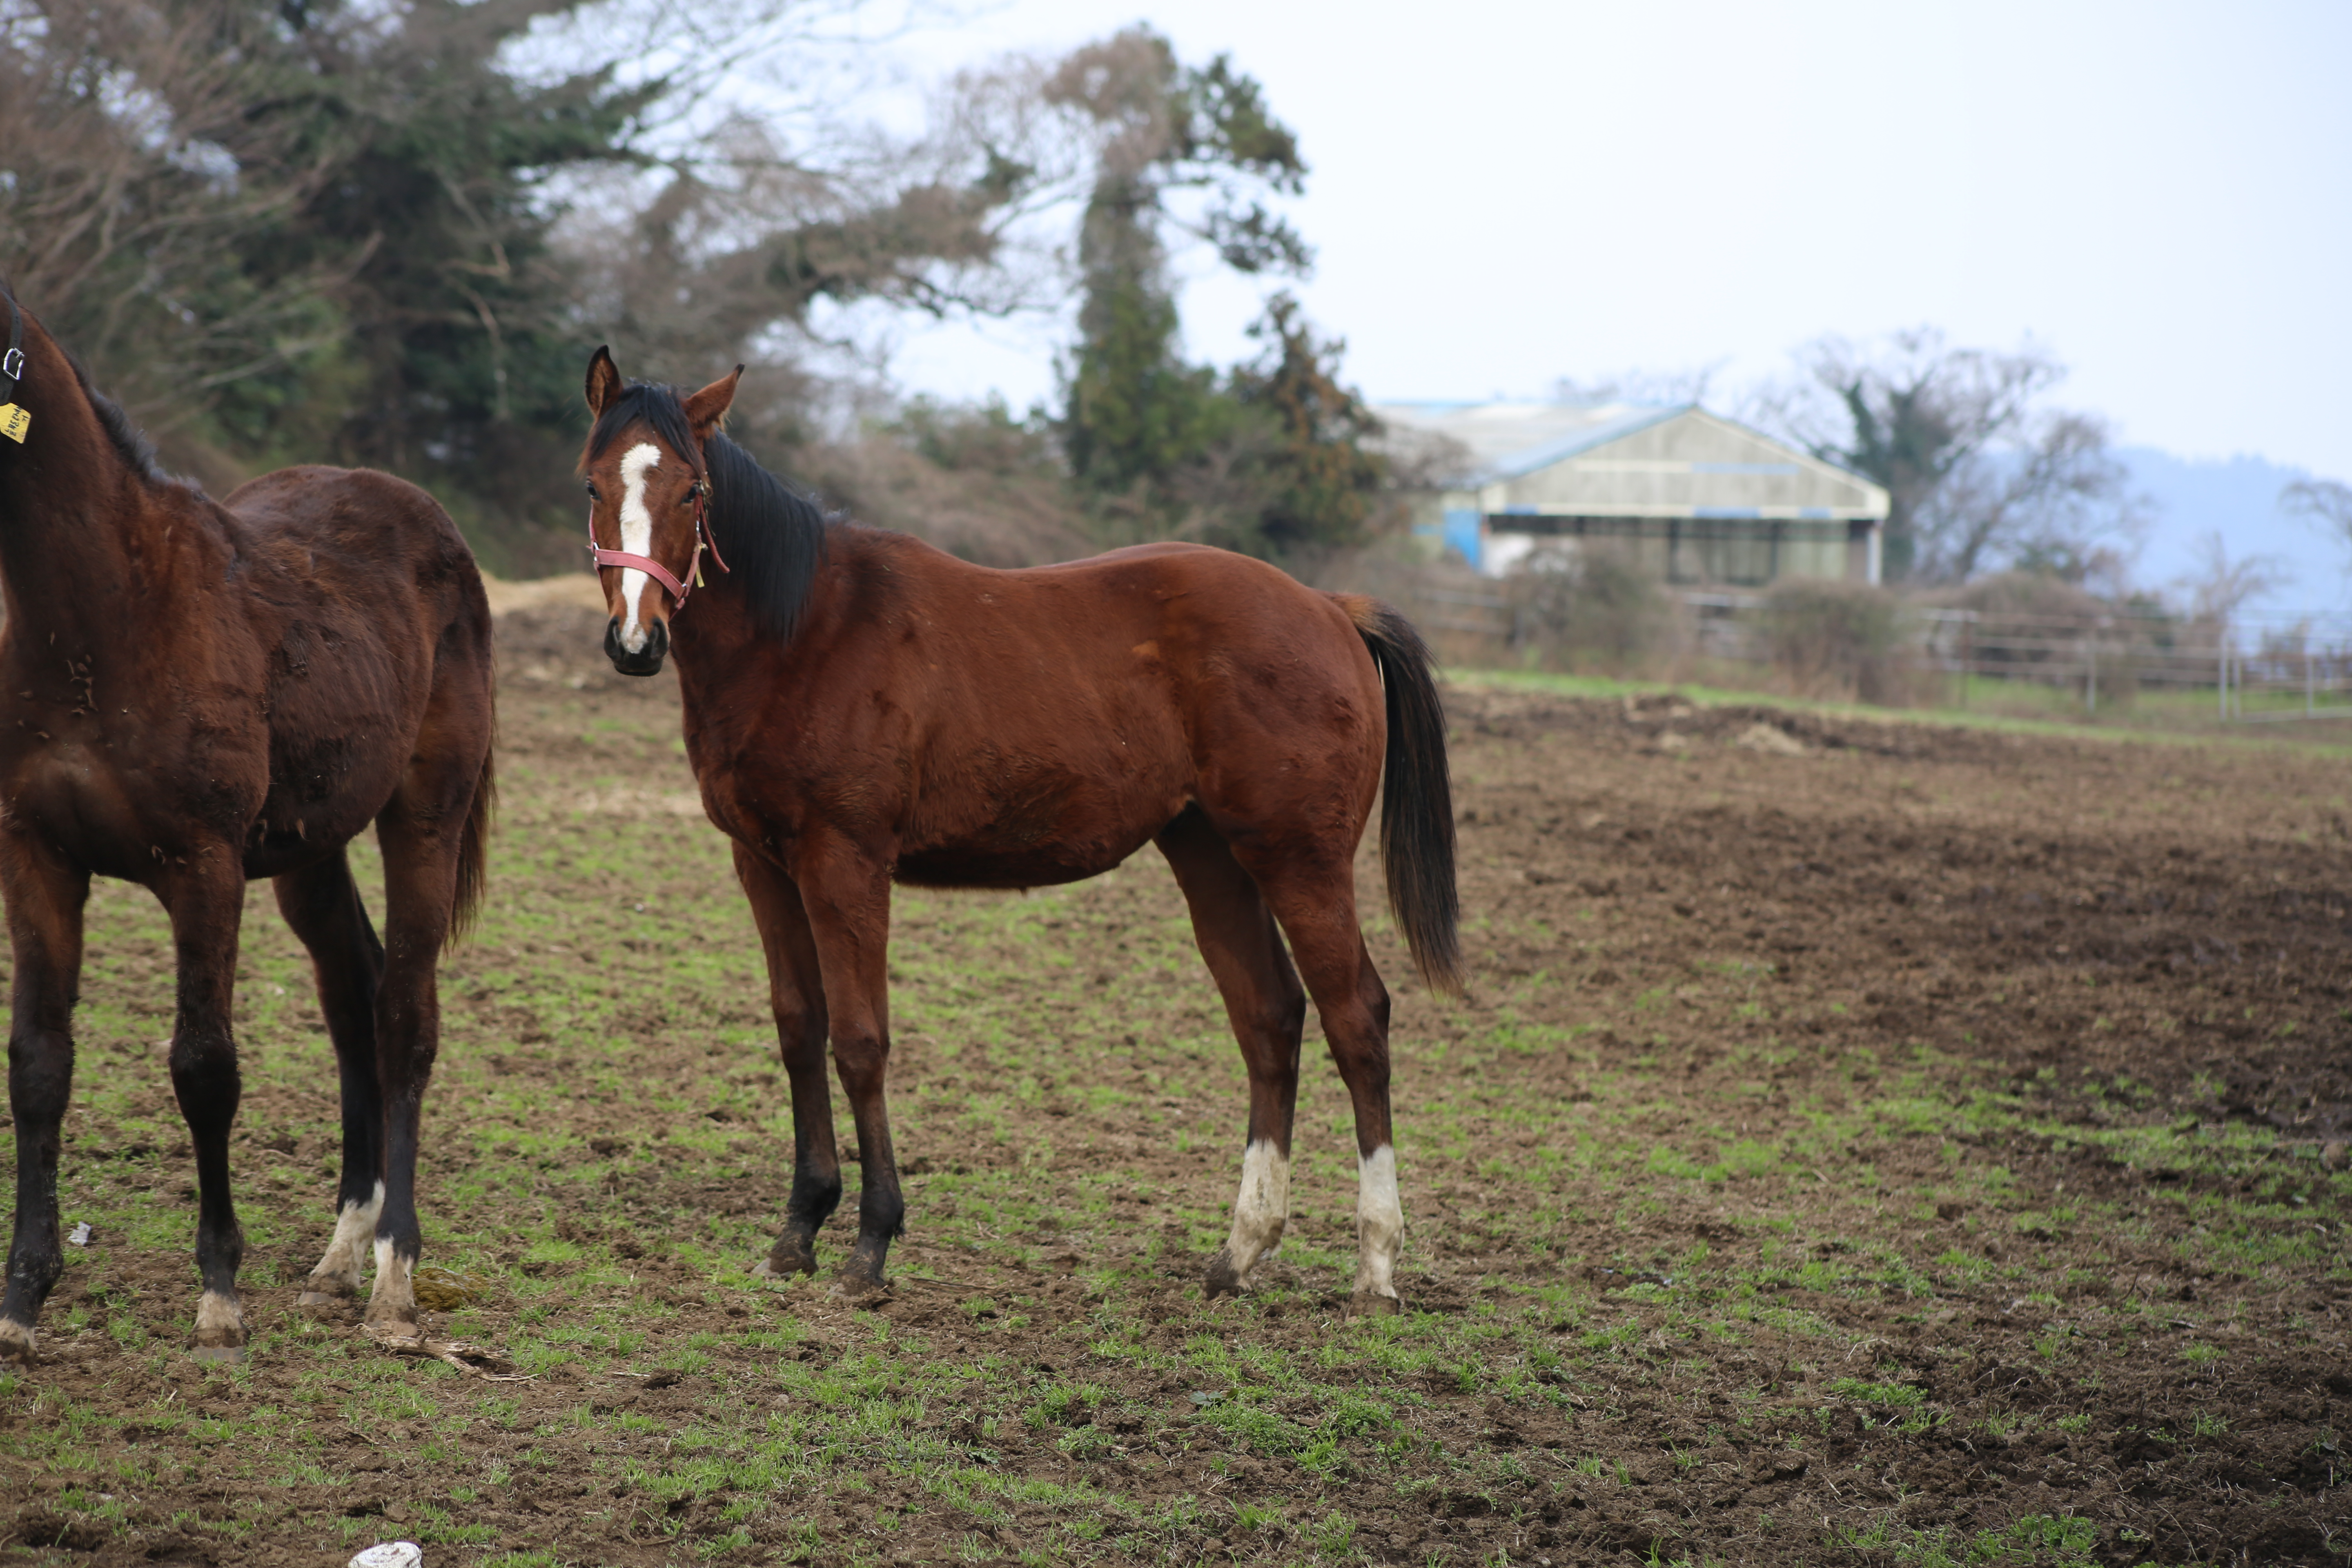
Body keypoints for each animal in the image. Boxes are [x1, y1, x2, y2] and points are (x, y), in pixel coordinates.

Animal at [0, 291, 491, 1363]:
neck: (105, 609)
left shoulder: (204, 868)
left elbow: (204, 1068)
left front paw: (219, 1292)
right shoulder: (39, 860)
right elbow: (40, 1065)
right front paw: (22, 1298)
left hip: (423, 819)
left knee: (405, 1015)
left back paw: (393, 1277)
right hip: (311, 851)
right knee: (354, 996)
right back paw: (339, 1255)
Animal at [578, 350, 1458, 1316]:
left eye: (693, 490)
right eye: (593, 485)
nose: (634, 642)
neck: (805, 629)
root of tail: (1330, 607)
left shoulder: (846, 863)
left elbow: (860, 1041)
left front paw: (872, 1243)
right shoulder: (763, 864)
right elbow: (798, 1032)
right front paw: (799, 1229)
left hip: (1301, 860)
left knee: (1357, 1020)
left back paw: (1376, 1266)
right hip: (1214, 856)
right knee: (1270, 1019)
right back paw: (1241, 1252)